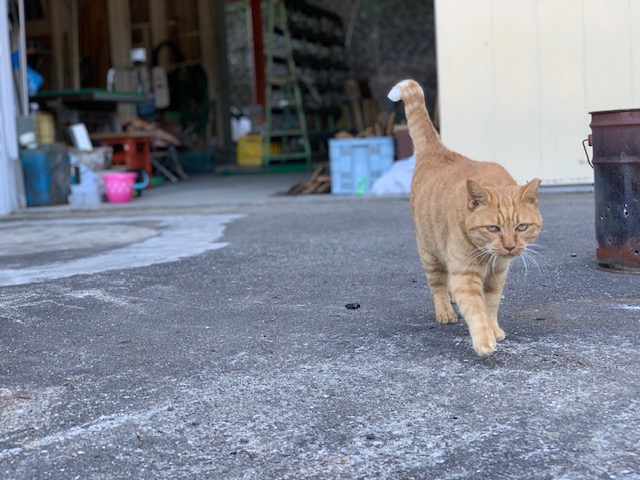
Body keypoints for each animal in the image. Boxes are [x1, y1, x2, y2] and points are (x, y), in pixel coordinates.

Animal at [388, 79, 544, 356]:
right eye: (493, 228)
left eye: (521, 227)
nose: (509, 247)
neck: (489, 258)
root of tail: (438, 151)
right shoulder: (465, 274)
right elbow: (476, 309)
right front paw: (484, 339)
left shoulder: (497, 276)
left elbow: (490, 305)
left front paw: (494, 329)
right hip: (430, 253)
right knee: (438, 285)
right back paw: (445, 311)